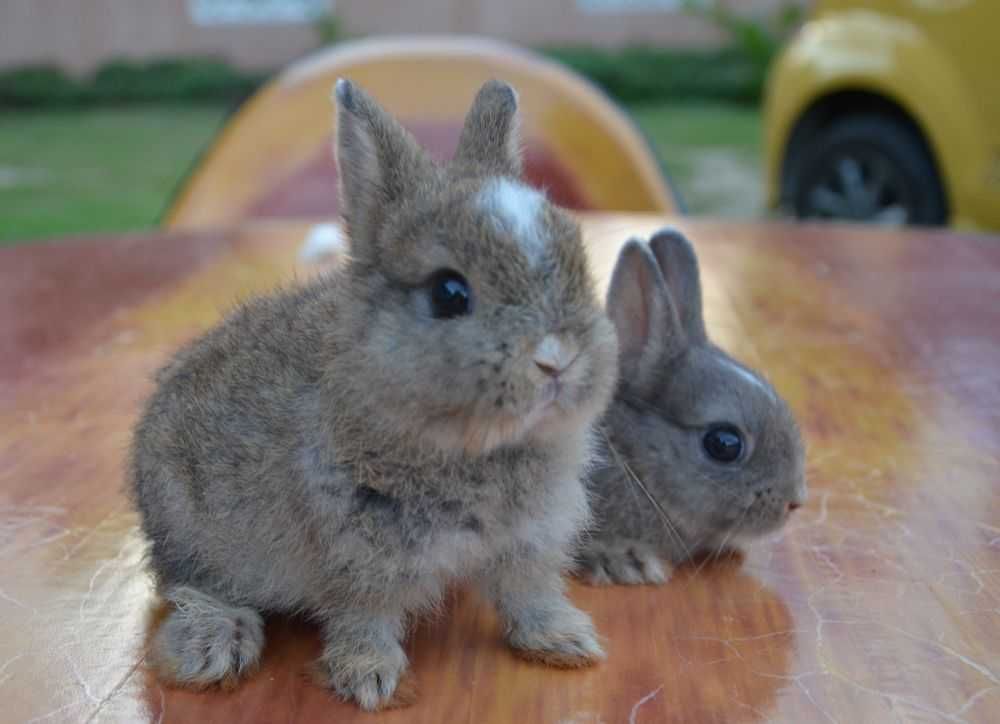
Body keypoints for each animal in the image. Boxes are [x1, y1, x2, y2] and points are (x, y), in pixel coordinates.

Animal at [130, 79, 620, 708]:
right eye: (448, 293)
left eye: (578, 261)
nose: (557, 358)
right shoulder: (361, 557)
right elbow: (364, 618)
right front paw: (371, 681)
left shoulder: (528, 541)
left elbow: (527, 593)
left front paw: (564, 641)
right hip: (191, 530)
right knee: (190, 584)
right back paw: (214, 648)